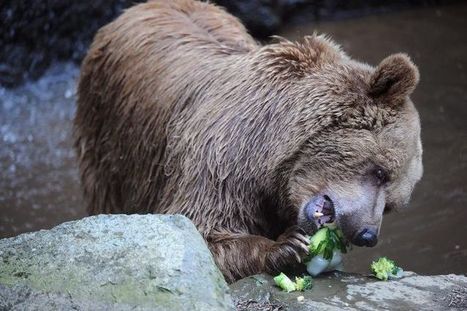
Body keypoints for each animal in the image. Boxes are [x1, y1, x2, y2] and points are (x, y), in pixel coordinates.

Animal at [74, 0, 424, 282]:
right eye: (380, 172)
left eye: (392, 204)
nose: (367, 234)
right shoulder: (222, 162)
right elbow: (202, 231)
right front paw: (286, 245)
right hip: (112, 137)